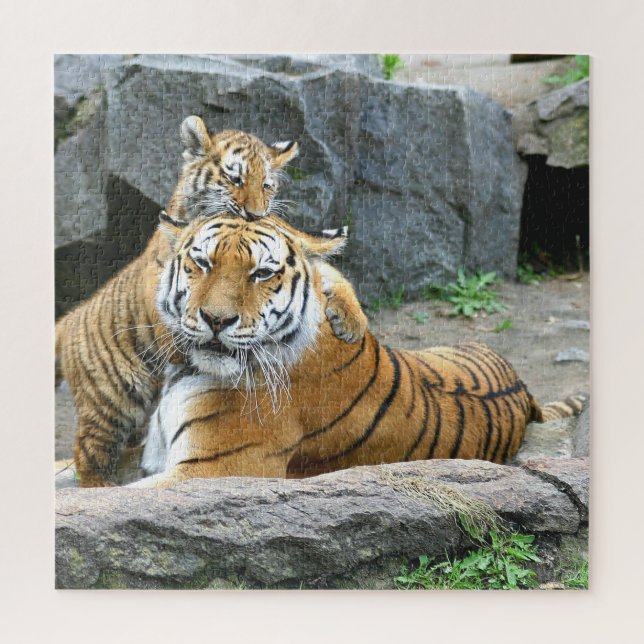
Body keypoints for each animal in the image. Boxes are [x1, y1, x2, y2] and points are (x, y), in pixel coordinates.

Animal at [55, 116, 367, 487]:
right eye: (235, 179)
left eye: (267, 185)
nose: (255, 213)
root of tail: (69, 318)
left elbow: (328, 272)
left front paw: (352, 321)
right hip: (110, 403)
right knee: (89, 456)